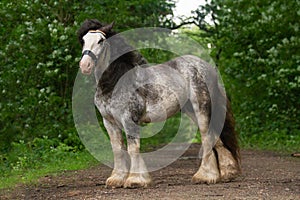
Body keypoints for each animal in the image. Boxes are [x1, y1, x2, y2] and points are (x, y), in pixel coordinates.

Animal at [77, 19, 241, 188]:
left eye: (100, 41)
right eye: (83, 40)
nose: (85, 66)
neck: (115, 82)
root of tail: (208, 67)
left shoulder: (129, 119)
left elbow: (132, 148)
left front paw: (136, 180)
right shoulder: (109, 122)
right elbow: (117, 149)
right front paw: (116, 179)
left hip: (201, 108)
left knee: (207, 137)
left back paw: (205, 176)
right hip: (191, 110)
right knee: (217, 138)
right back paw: (228, 173)